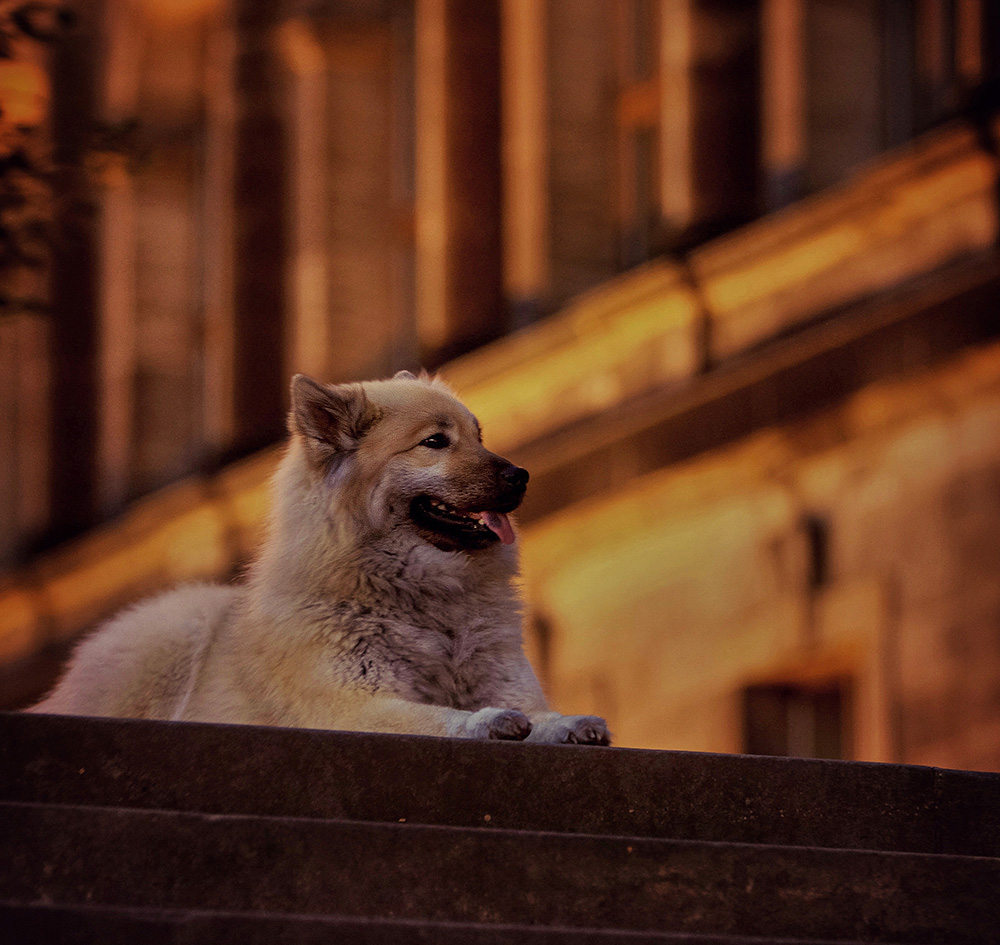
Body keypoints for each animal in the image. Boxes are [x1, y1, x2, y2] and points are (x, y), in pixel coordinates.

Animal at [33, 370, 608, 744]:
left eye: (480, 437)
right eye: (435, 442)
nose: (520, 476)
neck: (427, 601)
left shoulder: (505, 678)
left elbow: (541, 712)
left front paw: (568, 723)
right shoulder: (347, 704)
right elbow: (434, 718)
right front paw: (485, 721)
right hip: (174, 629)